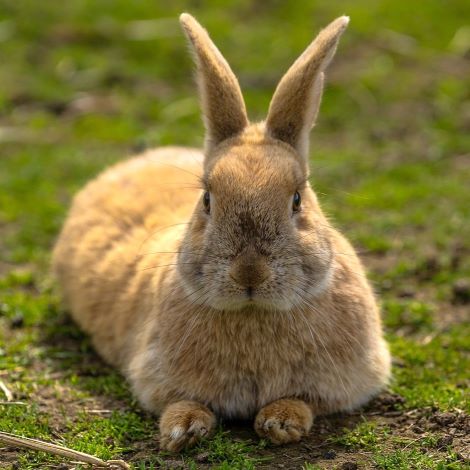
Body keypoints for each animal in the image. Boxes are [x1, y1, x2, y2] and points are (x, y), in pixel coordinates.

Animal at [51, 11, 392, 452]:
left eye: (297, 200)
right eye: (208, 200)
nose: (249, 273)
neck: (253, 313)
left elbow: (304, 400)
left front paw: (282, 421)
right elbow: (181, 401)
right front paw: (182, 430)